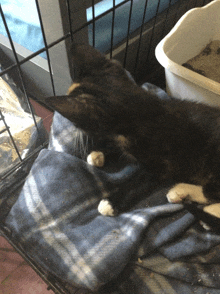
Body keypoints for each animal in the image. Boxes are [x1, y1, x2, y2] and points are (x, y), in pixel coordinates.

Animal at [44, 42, 220, 229]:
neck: (142, 113)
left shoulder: (161, 165)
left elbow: (138, 182)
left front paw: (111, 203)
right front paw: (99, 154)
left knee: (212, 192)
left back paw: (195, 202)